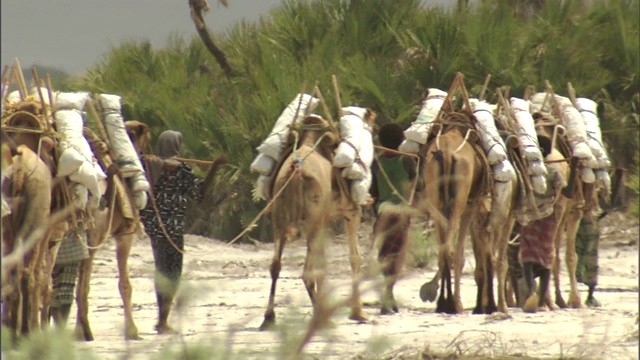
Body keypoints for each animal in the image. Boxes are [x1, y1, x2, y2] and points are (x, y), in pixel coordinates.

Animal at [258, 114, 368, 330]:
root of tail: (296, 170)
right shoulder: (351, 213)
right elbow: (355, 257)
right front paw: (358, 313)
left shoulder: (324, 220)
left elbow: (323, 261)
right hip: (312, 220)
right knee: (307, 271)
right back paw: (321, 316)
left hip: (281, 219)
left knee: (275, 265)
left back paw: (269, 318)